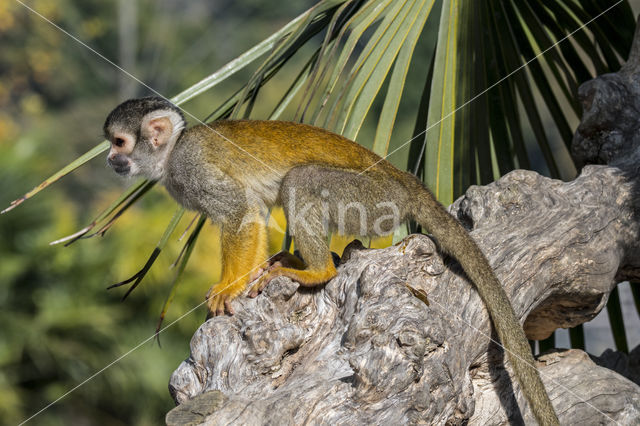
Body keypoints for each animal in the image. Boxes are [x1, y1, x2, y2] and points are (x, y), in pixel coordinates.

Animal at [104, 98, 556, 424]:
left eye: (119, 143)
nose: (109, 160)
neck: (171, 154)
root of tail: (408, 183)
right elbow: (252, 211)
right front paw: (243, 281)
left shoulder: (192, 166)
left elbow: (239, 210)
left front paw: (227, 290)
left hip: (369, 198)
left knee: (301, 181)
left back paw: (318, 270)